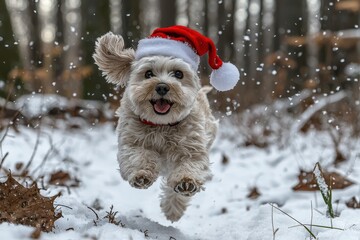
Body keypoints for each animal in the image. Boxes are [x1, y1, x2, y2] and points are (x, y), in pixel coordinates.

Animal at [94, 25, 238, 221]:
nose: (162, 86)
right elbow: (138, 157)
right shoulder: (131, 143)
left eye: (178, 73)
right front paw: (141, 175)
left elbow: (190, 167)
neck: (162, 126)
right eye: (148, 74)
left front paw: (185, 185)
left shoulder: (192, 149)